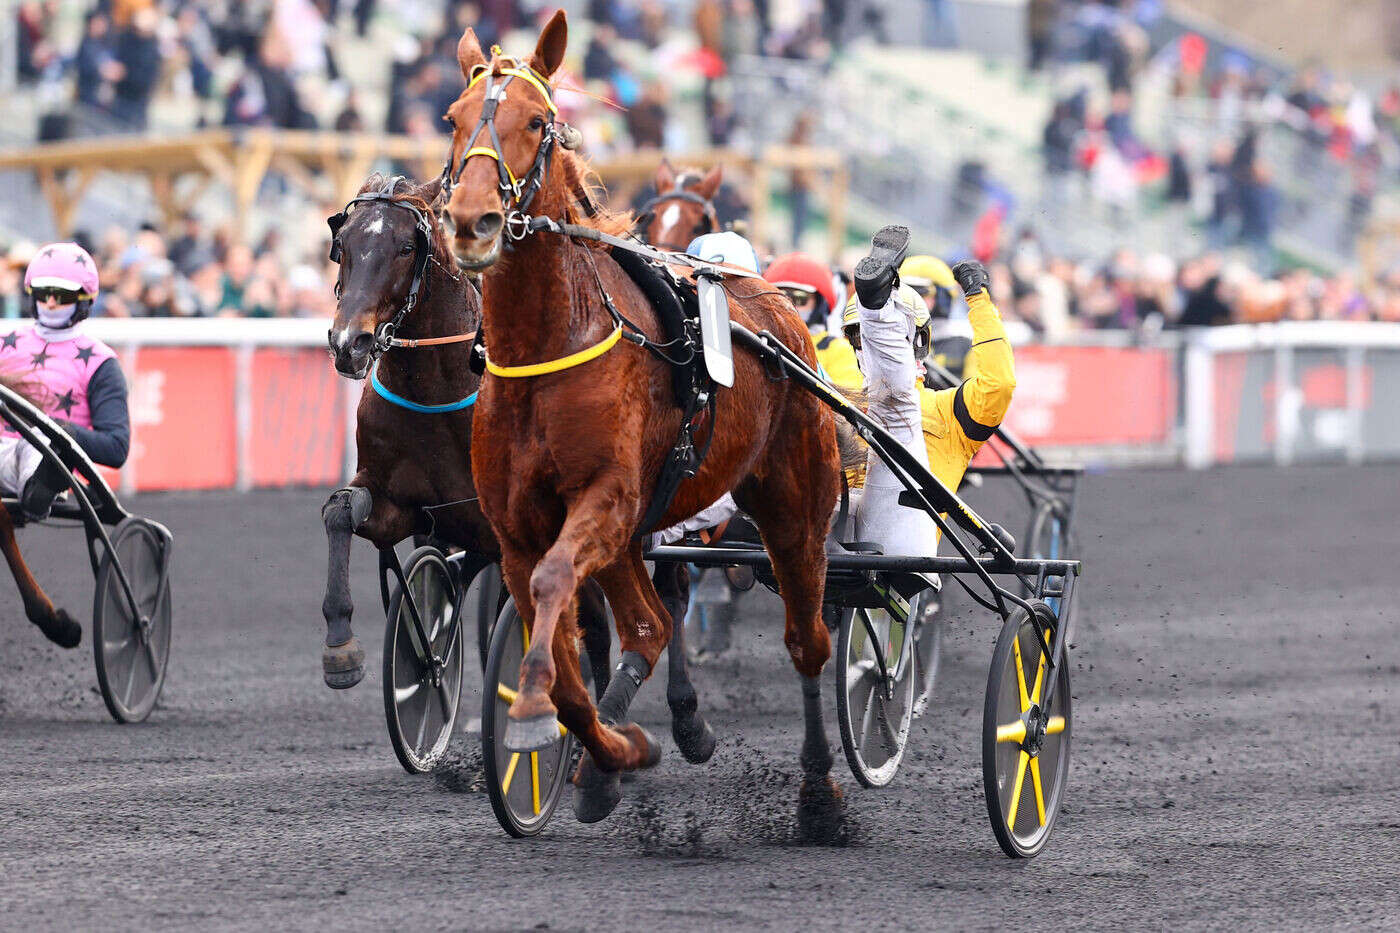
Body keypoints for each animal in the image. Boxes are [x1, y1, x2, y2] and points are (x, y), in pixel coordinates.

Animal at [442, 10, 845, 829]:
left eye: (536, 122)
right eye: (455, 118)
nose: (470, 222)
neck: (548, 346)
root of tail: (772, 302)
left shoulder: (607, 497)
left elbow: (559, 585)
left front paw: (534, 718)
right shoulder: (517, 528)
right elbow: (569, 659)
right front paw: (609, 752)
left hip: (794, 504)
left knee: (807, 638)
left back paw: (820, 791)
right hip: (638, 534)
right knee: (651, 626)